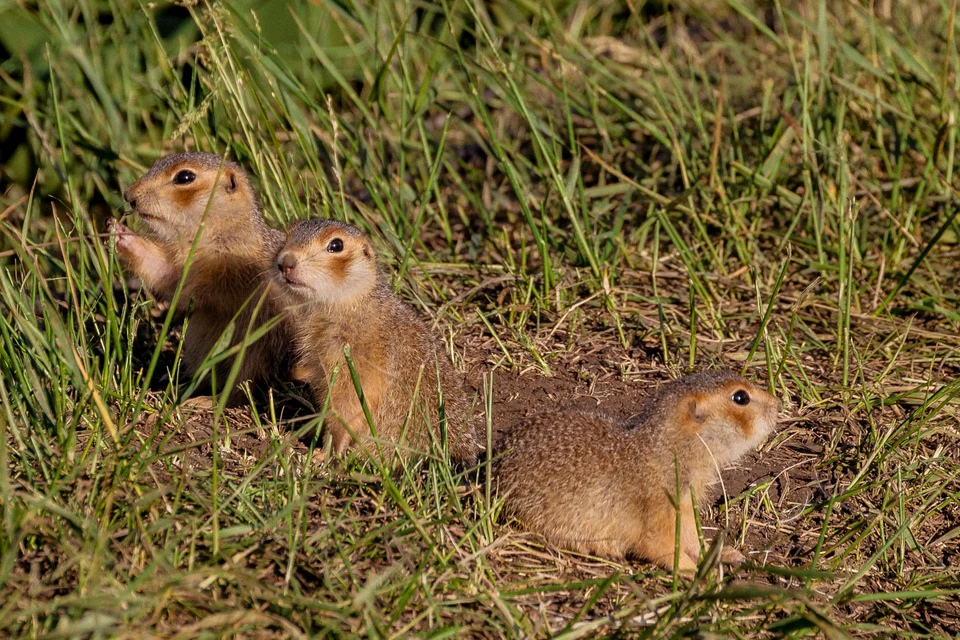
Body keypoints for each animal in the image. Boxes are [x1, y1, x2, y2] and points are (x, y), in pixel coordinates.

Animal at [110, 152, 290, 402]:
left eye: (185, 177)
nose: (129, 195)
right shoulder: (178, 262)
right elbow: (163, 271)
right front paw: (121, 233)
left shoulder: (232, 272)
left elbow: (204, 291)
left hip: (254, 351)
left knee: (241, 387)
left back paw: (206, 401)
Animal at [270, 218, 480, 462]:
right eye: (288, 235)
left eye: (336, 245)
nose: (285, 262)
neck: (353, 304)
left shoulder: (355, 365)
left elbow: (347, 409)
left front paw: (325, 454)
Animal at [496, 368, 780, 572]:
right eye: (740, 397)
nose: (778, 403)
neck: (667, 450)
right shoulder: (660, 506)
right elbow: (659, 545)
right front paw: (696, 573)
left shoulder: (685, 505)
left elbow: (690, 537)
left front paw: (724, 553)